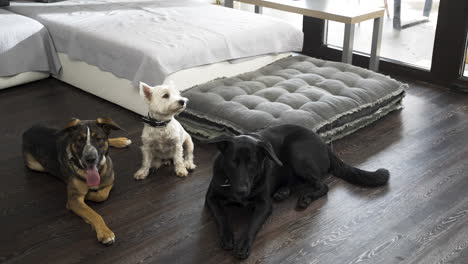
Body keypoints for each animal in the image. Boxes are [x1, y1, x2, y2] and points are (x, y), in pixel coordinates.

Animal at [22, 117, 131, 245]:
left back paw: (121, 141)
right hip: (36, 165)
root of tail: (27, 131)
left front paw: (90, 195)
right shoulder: (74, 200)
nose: (90, 158)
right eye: (80, 140)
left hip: (61, 130)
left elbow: (102, 195)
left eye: (98, 139)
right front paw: (105, 232)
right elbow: (94, 214)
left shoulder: (110, 180)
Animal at [204, 125, 388, 258]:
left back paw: (305, 197)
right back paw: (283, 192)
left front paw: (243, 244)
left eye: (252, 164)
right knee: (296, 181)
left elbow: (253, 224)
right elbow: (221, 216)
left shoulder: (264, 204)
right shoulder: (211, 198)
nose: (242, 191)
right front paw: (227, 236)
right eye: (232, 162)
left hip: (296, 152)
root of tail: (324, 145)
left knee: (322, 186)